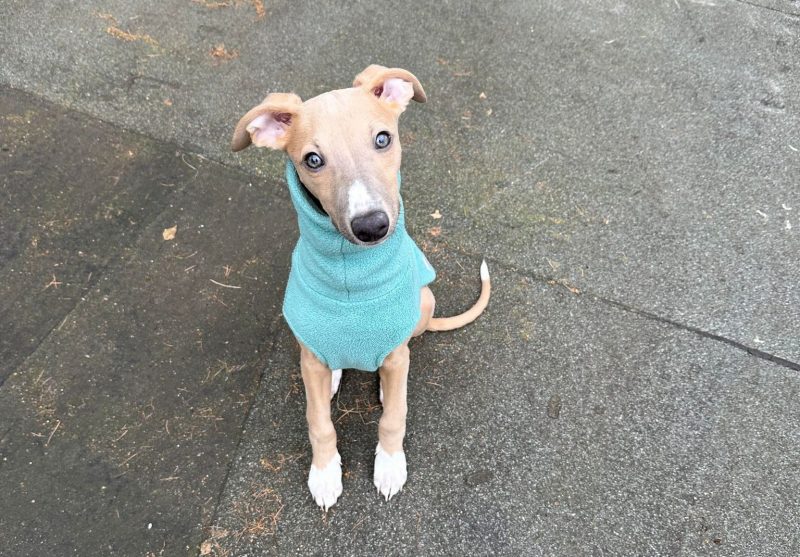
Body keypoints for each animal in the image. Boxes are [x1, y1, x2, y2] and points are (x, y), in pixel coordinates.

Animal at [231, 65, 490, 508]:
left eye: (382, 139)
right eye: (312, 160)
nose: (371, 227)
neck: (350, 274)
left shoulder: (396, 355)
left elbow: (394, 417)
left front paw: (389, 465)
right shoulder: (310, 356)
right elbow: (318, 422)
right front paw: (324, 474)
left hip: (424, 300)